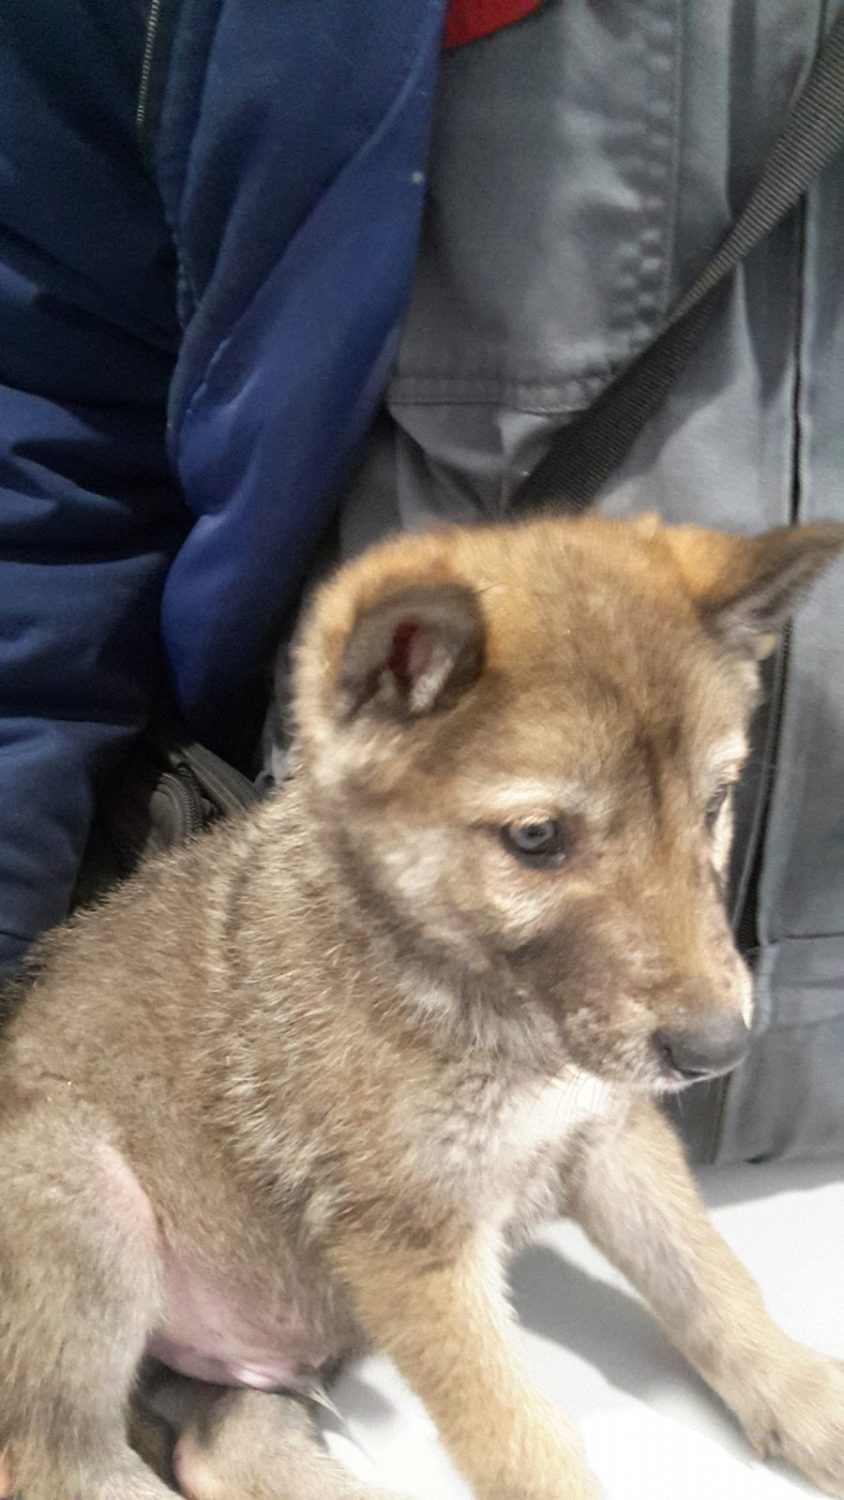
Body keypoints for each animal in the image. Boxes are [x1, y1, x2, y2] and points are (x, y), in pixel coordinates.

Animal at [1, 511, 842, 1500]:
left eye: (713, 804)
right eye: (536, 837)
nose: (722, 1049)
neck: (495, 1017)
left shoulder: (610, 1135)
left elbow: (711, 1282)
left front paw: (806, 1396)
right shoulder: (411, 1242)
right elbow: (517, 1437)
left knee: (220, 1445)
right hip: (92, 1211)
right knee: (59, 1460)